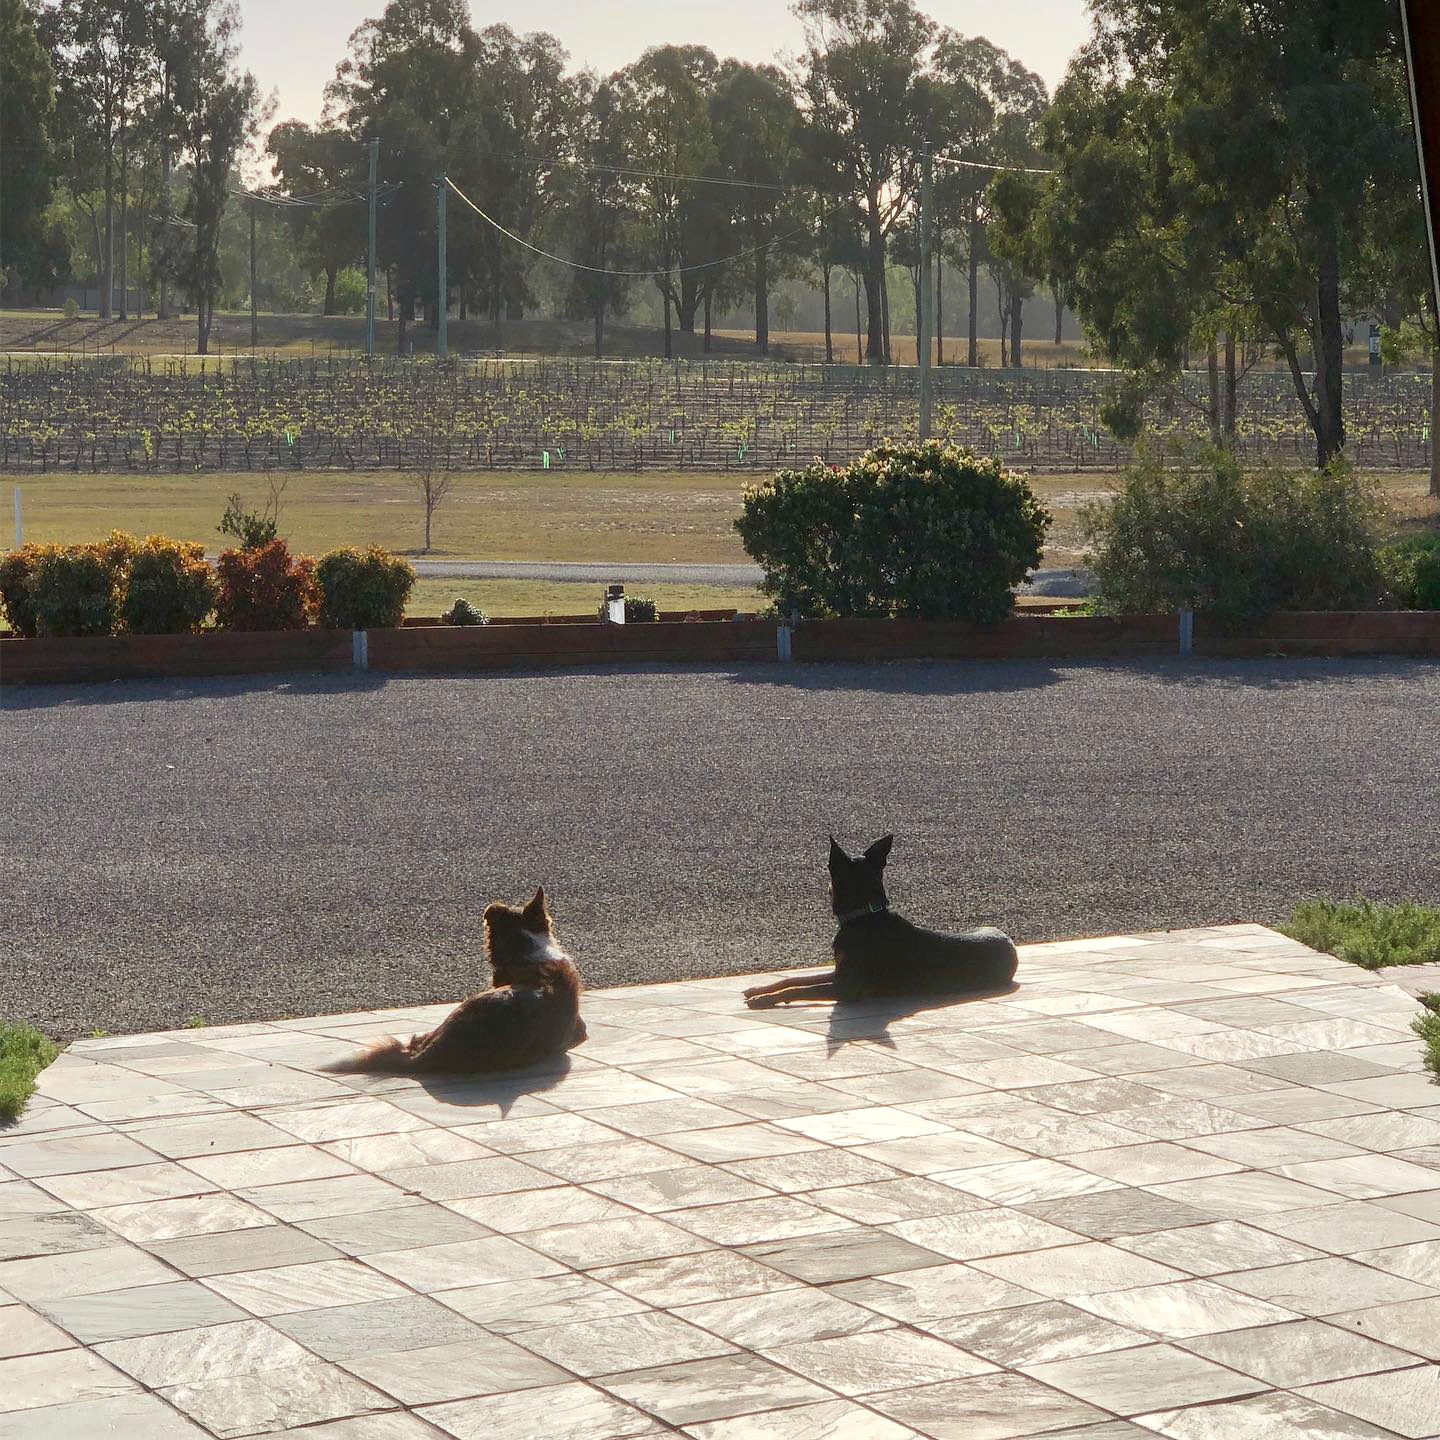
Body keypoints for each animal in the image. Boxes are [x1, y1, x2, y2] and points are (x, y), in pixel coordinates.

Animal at [743, 840, 1025, 1008]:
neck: (865, 916)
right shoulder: (838, 972)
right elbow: (793, 980)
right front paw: (759, 989)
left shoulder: (846, 986)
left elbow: (800, 990)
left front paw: (764, 1000)